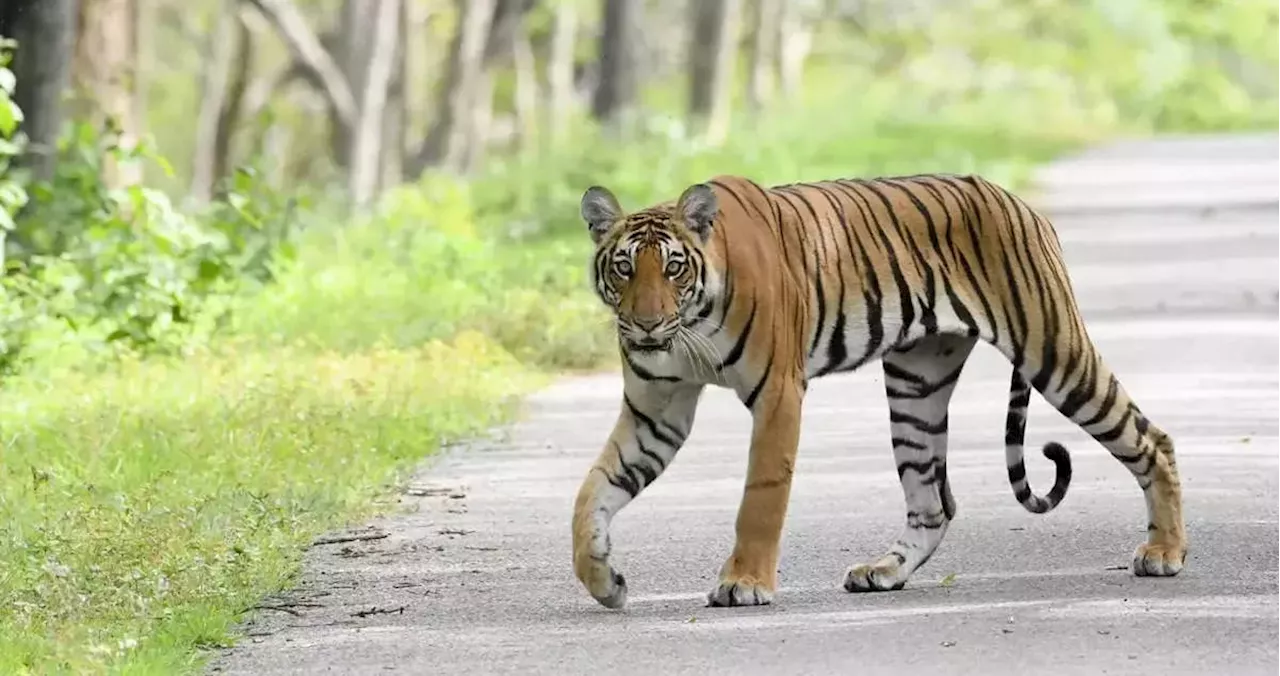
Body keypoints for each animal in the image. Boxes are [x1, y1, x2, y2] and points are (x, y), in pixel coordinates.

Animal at [573, 171, 1187, 609]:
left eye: (673, 268)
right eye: (624, 268)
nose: (647, 324)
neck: (690, 325)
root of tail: (1022, 204)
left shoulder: (778, 394)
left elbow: (761, 497)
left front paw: (744, 583)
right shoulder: (657, 409)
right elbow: (594, 491)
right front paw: (604, 580)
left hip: (1054, 353)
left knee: (1151, 439)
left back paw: (1164, 552)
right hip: (916, 385)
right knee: (934, 503)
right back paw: (884, 572)